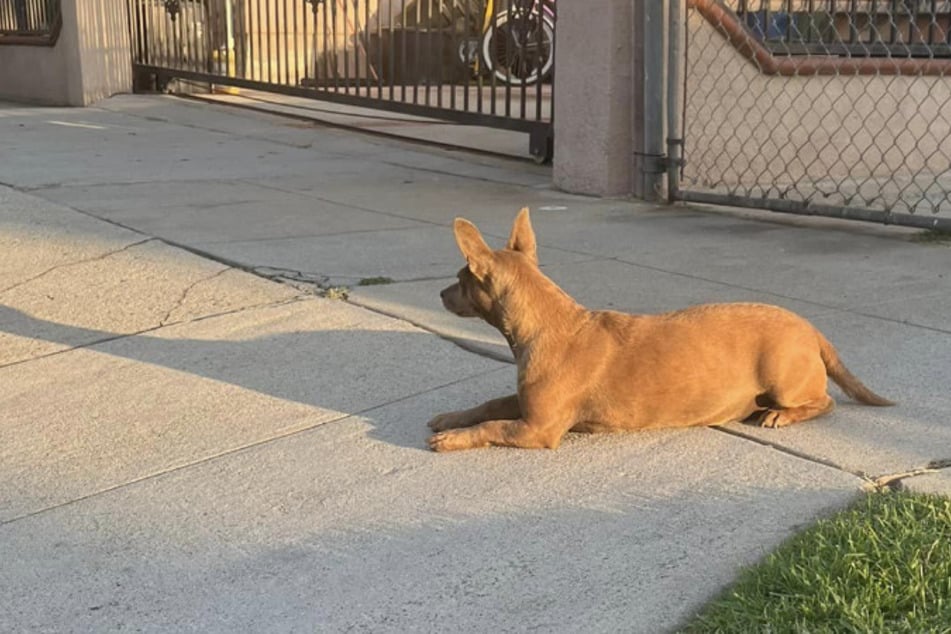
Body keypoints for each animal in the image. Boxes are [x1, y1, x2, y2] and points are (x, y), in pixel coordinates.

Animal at [428, 207, 896, 450]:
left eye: (460, 278)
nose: (439, 294)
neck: (549, 323)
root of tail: (810, 328)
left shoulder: (536, 429)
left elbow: (492, 427)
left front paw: (453, 438)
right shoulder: (526, 407)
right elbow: (489, 405)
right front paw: (451, 418)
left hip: (785, 378)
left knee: (823, 402)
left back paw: (780, 415)